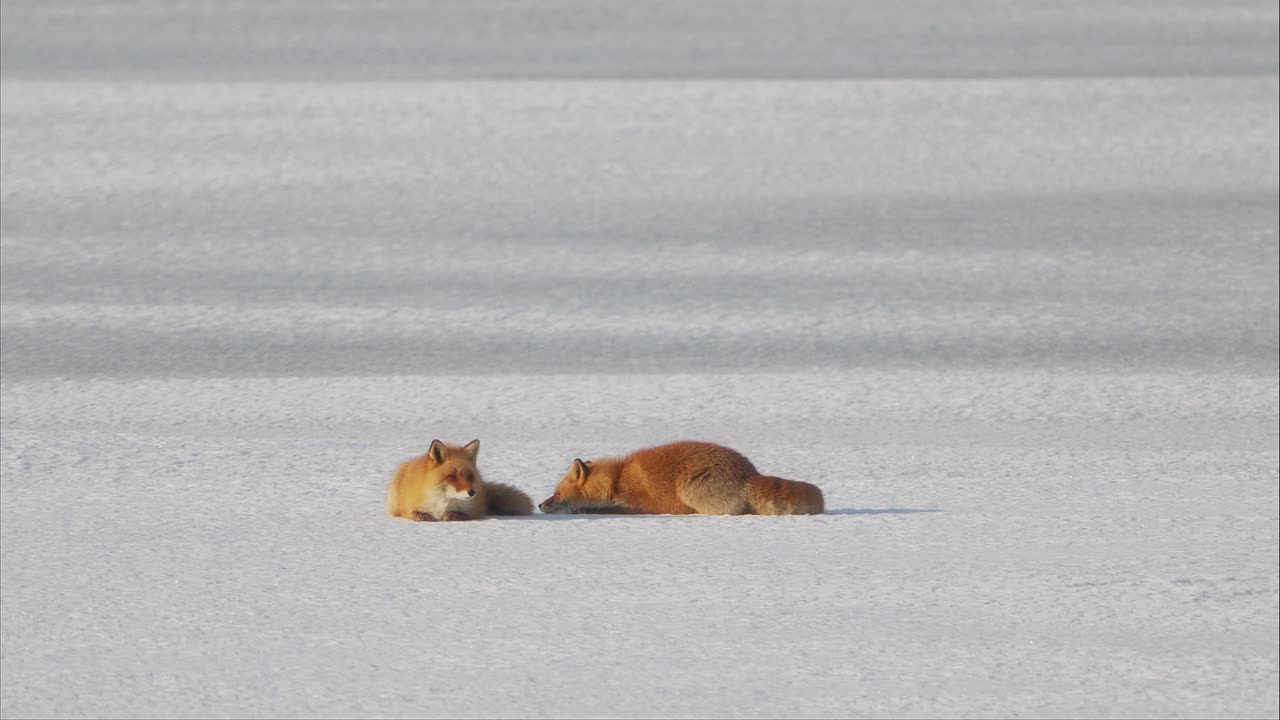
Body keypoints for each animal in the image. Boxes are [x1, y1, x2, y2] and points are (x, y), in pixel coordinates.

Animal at [386, 438, 532, 520]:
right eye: (452, 476)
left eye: (469, 476)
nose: (472, 492)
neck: (443, 501)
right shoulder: (404, 507)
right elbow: (410, 512)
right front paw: (422, 516)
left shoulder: (474, 511)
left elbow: (464, 514)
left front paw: (452, 515)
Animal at [537, 440, 819, 512]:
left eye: (557, 493)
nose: (539, 505)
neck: (618, 479)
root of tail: (751, 474)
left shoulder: (644, 504)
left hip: (690, 490)